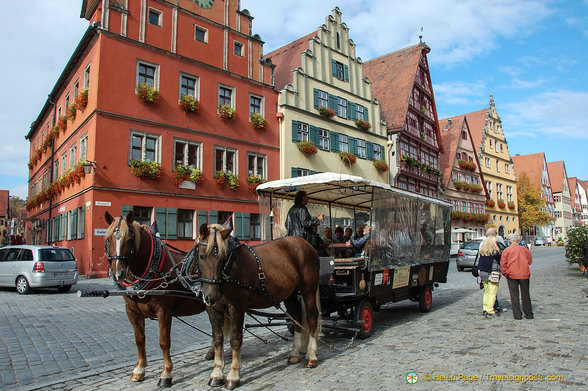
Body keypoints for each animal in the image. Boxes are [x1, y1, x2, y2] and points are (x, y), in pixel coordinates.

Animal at [104, 211, 215, 386]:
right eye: (108, 238)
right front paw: (139, 370)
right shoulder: (132, 312)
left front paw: (166, 374)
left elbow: (164, 342)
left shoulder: (163, 311)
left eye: (130, 238)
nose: (117, 273)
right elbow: (139, 340)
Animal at [195, 225, 320, 390]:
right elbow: (217, 339)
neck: (229, 271)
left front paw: (233, 375)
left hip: (308, 290)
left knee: (312, 318)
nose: (210, 297)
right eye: (202, 256)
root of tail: (305, 244)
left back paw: (311, 357)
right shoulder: (213, 310)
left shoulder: (237, 308)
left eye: (222, 257)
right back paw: (294, 354)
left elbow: (235, 339)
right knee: (296, 319)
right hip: (291, 294)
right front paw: (216, 374)